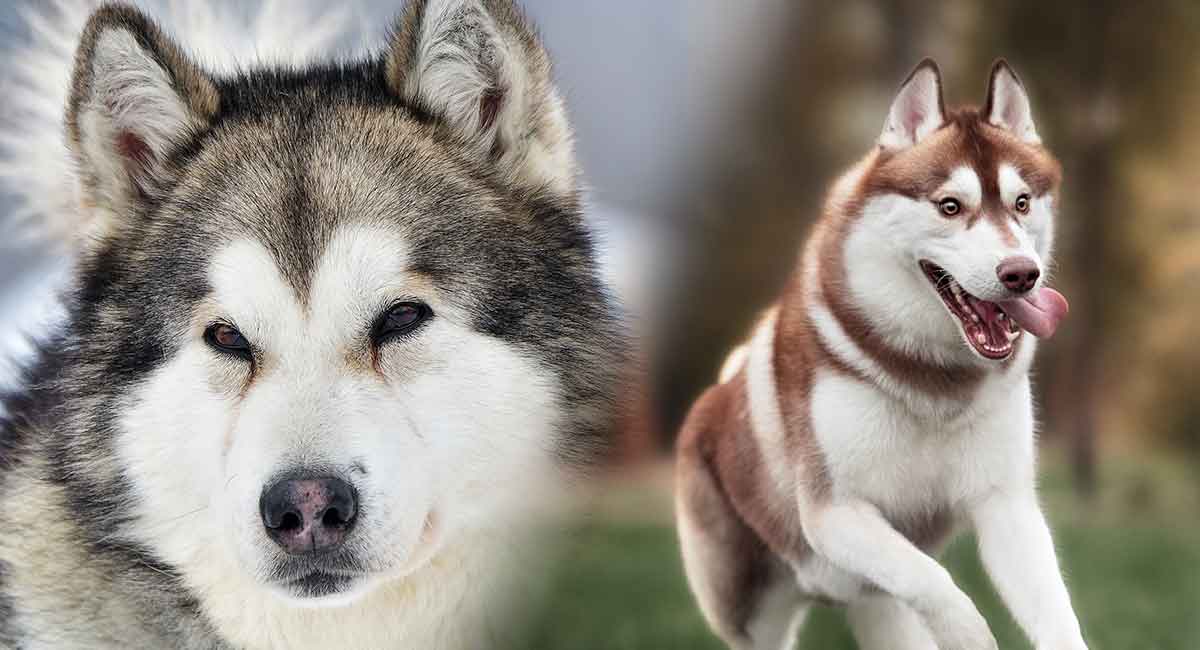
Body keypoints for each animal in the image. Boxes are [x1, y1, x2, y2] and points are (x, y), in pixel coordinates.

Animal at [676, 61, 1089, 650]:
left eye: (1022, 202)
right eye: (950, 206)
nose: (1021, 274)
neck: (935, 379)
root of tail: (710, 398)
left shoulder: (1006, 503)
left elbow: (1054, 613)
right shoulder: (834, 513)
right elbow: (936, 581)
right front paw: (970, 636)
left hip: (873, 603)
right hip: (753, 607)